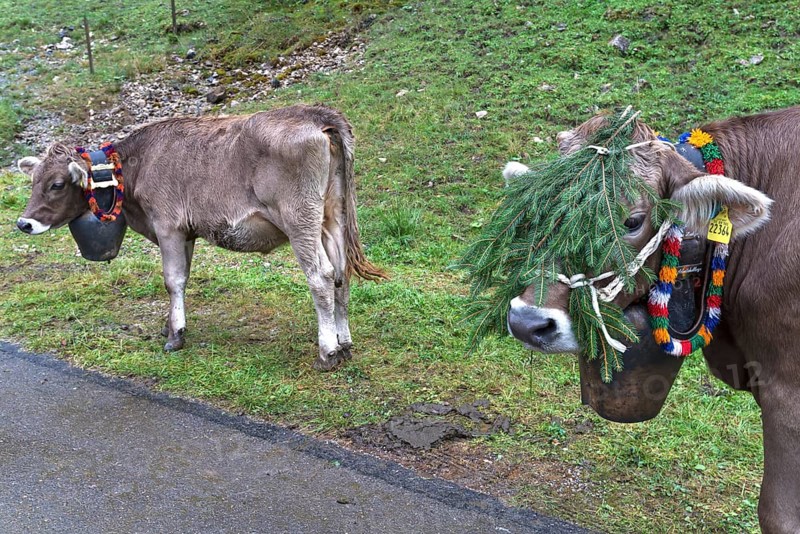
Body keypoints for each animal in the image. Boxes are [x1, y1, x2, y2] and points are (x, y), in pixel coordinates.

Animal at [16, 104, 386, 371]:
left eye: (57, 184)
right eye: (33, 181)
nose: (23, 223)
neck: (138, 164)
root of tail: (314, 113)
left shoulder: (167, 224)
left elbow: (172, 279)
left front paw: (175, 337)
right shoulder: (187, 231)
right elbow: (185, 276)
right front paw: (170, 325)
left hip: (300, 219)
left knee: (321, 276)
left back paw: (328, 351)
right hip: (332, 216)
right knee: (341, 274)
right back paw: (345, 343)